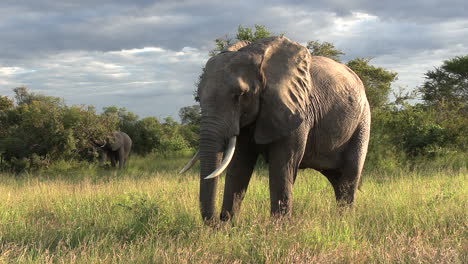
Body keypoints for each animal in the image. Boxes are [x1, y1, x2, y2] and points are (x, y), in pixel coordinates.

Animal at [181, 36, 372, 223]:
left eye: (240, 95)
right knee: (338, 181)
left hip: (363, 121)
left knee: (349, 177)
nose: (214, 222)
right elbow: (239, 164)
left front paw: (278, 228)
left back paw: (344, 222)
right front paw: (228, 226)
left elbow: (283, 165)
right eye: (198, 97)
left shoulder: (297, 110)